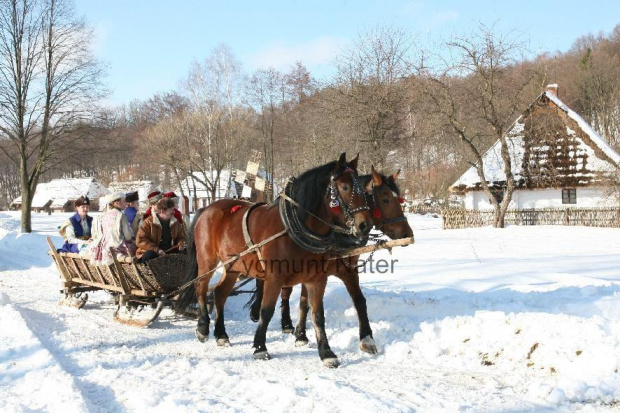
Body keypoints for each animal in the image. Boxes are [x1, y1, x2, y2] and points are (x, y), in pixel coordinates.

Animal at [173, 153, 372, 366]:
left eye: (363, 188)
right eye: (344, 187)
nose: (364, 225)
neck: (295, 228)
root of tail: (208, 208)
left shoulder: (317, 279)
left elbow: (317, 315)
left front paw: (326, 352)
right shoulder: (274, 278)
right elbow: (266, 311)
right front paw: (260, 347)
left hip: (233, 266)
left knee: (219, 294)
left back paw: (221, 334)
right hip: (207, 260)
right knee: (201, 287)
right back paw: (203, 327)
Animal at [247, 166, 412, 352]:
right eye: (385, 199)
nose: (407, 233)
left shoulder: (346, 271)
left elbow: (359, 301)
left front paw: (367, 338)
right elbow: (306, 302)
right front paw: (301, 335)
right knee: (282, 291)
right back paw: (280, 321)